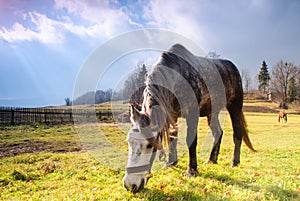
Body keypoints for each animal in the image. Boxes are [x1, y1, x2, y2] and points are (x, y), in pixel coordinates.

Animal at [122, 44, 255, 193]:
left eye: (149, 145)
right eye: (129, 142)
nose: (129, 185)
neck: (176, 77)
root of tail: (233, 67)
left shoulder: (192, 113)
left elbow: (191, 141)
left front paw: (191, 170)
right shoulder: (172, 115)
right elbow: (173, 137)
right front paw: (171, 162)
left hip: (235, 107)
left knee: (237, 133)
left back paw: (234, 162)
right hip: (212, 112)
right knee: (218, 133)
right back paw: (211, 159)